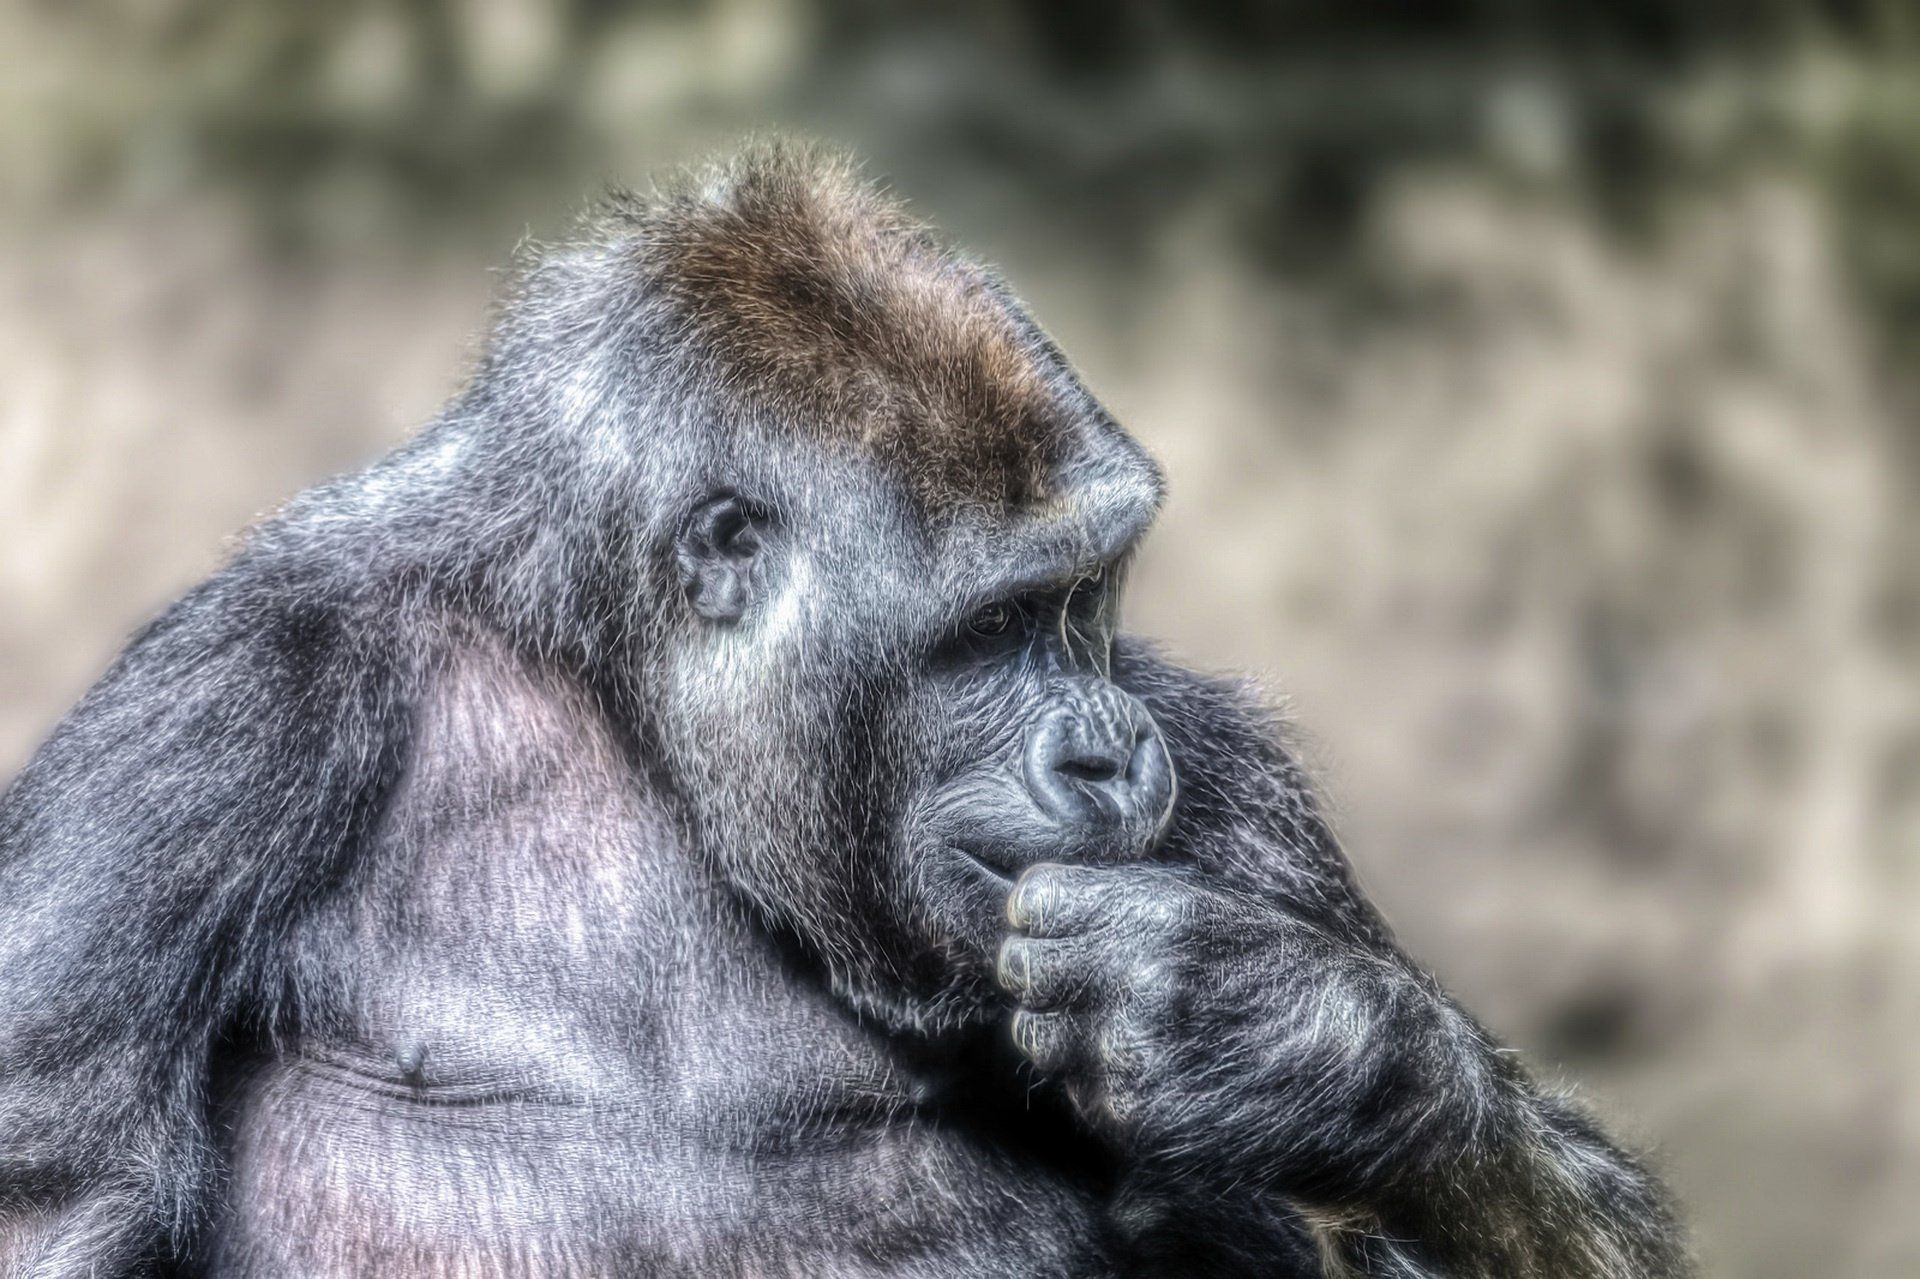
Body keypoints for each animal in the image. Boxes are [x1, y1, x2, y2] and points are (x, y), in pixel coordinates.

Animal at [0, 142, 1690, 1277]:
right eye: (993, 629)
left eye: (1087, 602)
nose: (1111, 747)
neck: (625, 699)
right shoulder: (230, 712)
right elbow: (55, 1202)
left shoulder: (1232, 781)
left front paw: (1292, 1036)